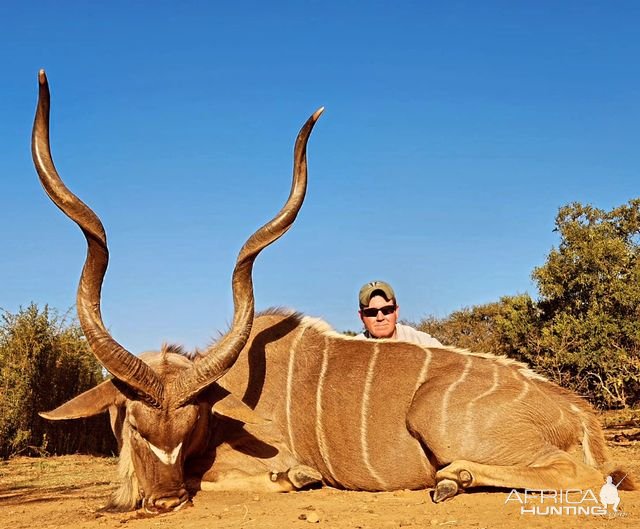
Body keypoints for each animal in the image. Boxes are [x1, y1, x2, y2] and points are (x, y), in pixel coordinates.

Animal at [36, 72, 636, 512]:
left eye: (193, 425)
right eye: (134, 426)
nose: (163, 501)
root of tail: (582, 418)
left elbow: (253, 477)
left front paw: (295, 478)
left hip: (438, 419)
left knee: (585, 474)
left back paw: (453, 477)